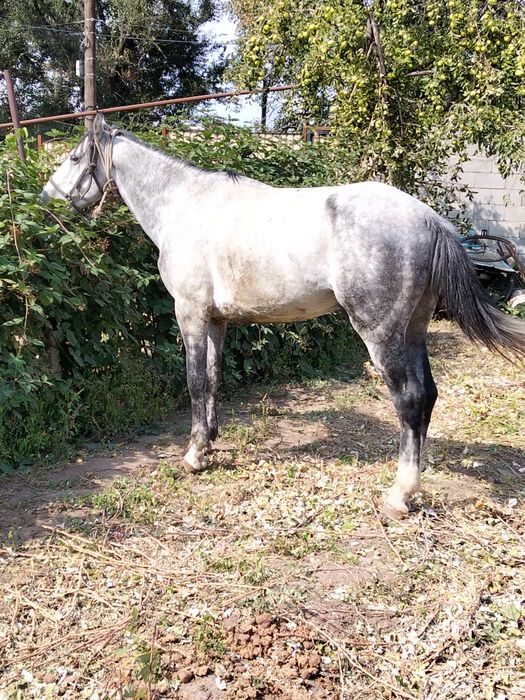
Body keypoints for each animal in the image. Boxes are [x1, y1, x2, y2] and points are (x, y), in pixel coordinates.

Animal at [41, 113, 525, 519]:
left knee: (408, 399)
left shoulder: (191, 315)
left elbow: (195, 383)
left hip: (381, 333)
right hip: (414, 330)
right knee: (427, 396)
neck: (183, 206)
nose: (46, 200)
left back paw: (399, 494)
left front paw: (194, 456)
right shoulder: (216, 322)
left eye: (73, 157)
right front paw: (209, 444)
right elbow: (213, 380)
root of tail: (429, 220)